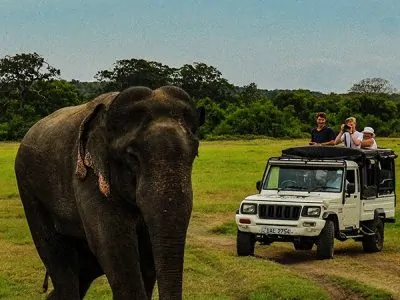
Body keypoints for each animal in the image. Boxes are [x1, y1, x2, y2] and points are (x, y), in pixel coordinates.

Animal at [14, 85, 205, 298]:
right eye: (132, 156)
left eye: (195, 153)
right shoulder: (88, 177)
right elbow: (114, 246)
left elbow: (147, 258)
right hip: (28, 189)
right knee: (59, 260)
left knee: (83, 273)